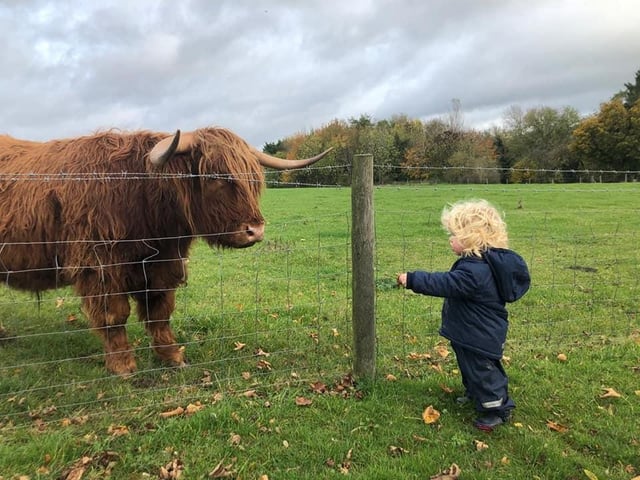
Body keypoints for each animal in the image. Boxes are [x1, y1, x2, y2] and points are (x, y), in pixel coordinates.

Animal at [0, 127, 331, 375]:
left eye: (254, 179)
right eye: (213, 177)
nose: (256, 230)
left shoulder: (163, 263)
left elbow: (160, 310)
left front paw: (172, 356)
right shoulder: (100, 268)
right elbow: (114, 315)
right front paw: (123, 365)